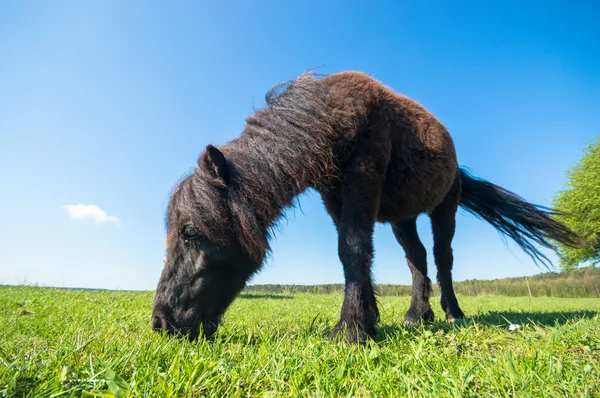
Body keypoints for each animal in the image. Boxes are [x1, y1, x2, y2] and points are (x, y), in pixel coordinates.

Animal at [152, 70, 584, 342]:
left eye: (190, 232)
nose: (160, 322)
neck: (328, 118)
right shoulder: (334, 197)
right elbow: (356, 253)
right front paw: (369, 319)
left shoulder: (363, 178)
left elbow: (353, 247)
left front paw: (352, 329)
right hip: (402, 219)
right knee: (416, 259)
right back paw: (416, 315)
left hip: (443, 209)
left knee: (442, 257)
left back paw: (451, 312)